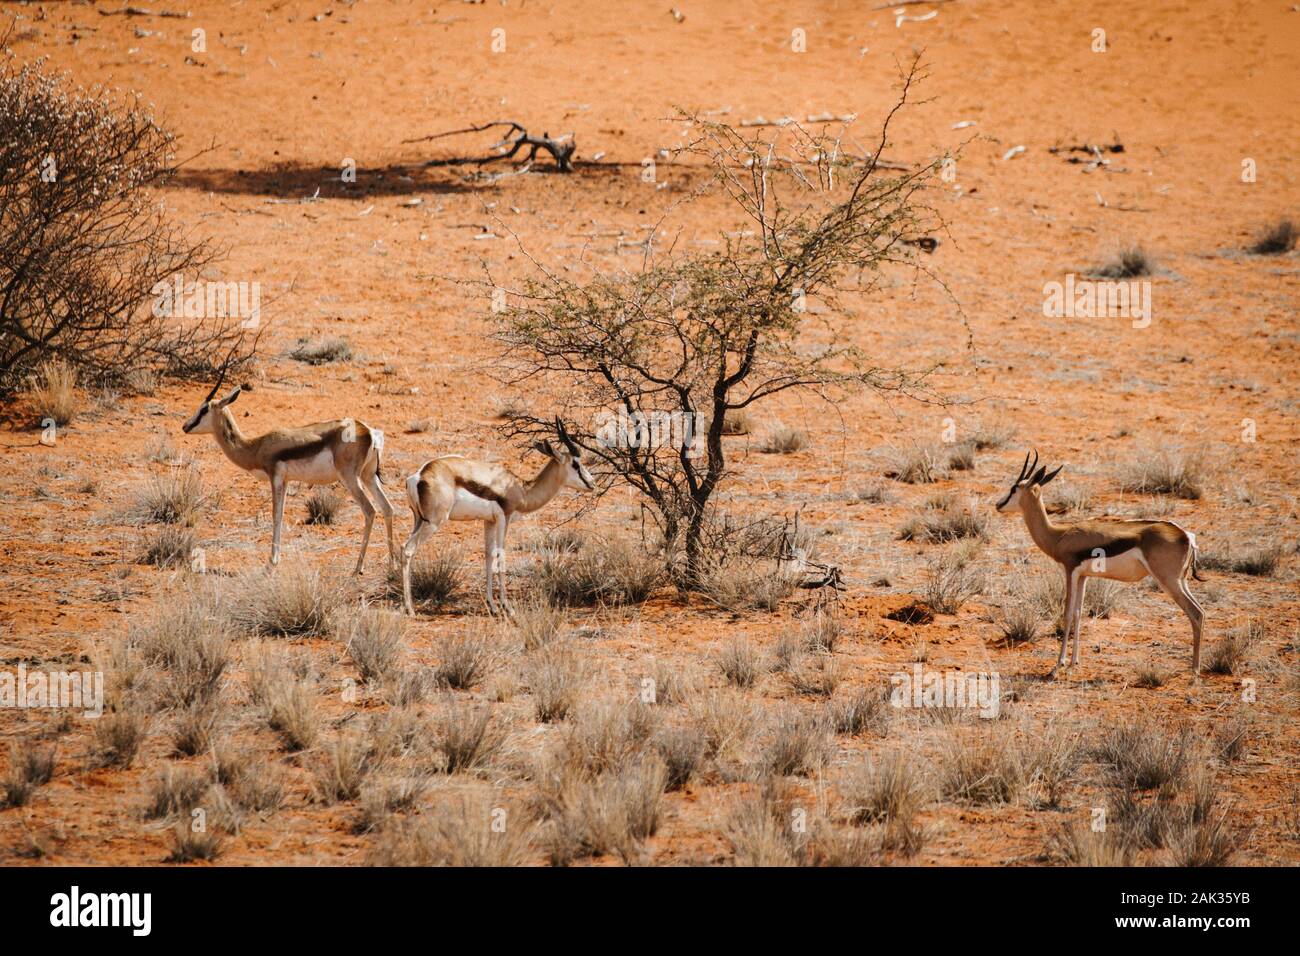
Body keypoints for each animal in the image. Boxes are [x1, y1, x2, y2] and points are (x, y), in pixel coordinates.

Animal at [180, 358, 396, 574]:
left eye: (204, 409)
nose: (185, 426)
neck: (256, 446)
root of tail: (368, 431)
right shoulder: (285, 481)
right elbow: (281, 515)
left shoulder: (275, 477)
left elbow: (276, 516)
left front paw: (271, 563)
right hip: (368, 476)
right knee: (387, 508)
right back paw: (392, 566)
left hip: (350, 478)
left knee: (370, 510)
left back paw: (358, 567)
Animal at [400, 418, 594, 616]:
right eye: (575, 464)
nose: (592, 483)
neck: (521, 489)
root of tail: (418, 476)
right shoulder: (504, 518)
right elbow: (501, 556)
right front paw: (507, 607)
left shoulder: (489, 521)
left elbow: (489, 556)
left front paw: (492, 606)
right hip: (434, 522)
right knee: (407, 549)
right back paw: (410, 609)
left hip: (419, 520)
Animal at [996, 450, 1205, 676]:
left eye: (1013, 488)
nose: (998, 505)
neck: (1059, 536)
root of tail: (1186, 535)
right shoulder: (1083, 577)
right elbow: (1078, 614)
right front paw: (1073, 662)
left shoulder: (1070, 571)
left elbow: (1067, 614)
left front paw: (1057, 667)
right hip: (1181, 581)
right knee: (1200, 612)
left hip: (1169, 582)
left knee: (1196, 613)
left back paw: (1195, 670)